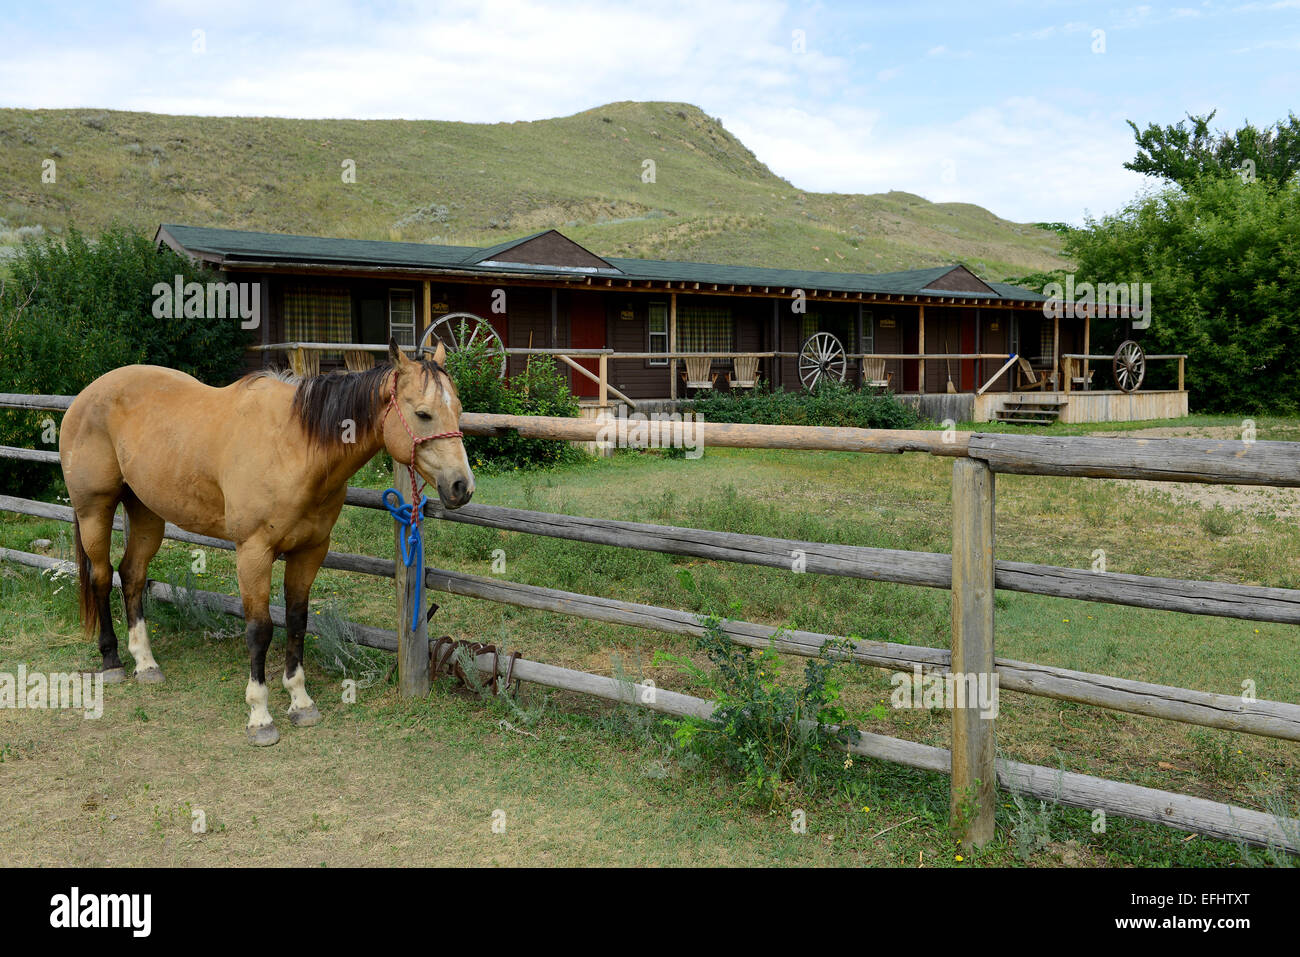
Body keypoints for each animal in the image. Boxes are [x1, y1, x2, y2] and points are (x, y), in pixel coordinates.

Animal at [57, 340, 473, 743]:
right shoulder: (253, 553)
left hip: (145, 514)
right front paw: (260, 716)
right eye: (423, 414)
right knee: (100, 576)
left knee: (131, 575)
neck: (293, 446)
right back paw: (112, 661)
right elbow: (259, 630)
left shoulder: (310, 552)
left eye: (458, 410)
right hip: (95, 510)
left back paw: (145, 662)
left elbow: (297, 621)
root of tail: (85, 396)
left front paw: (301, 702)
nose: (461, 487)